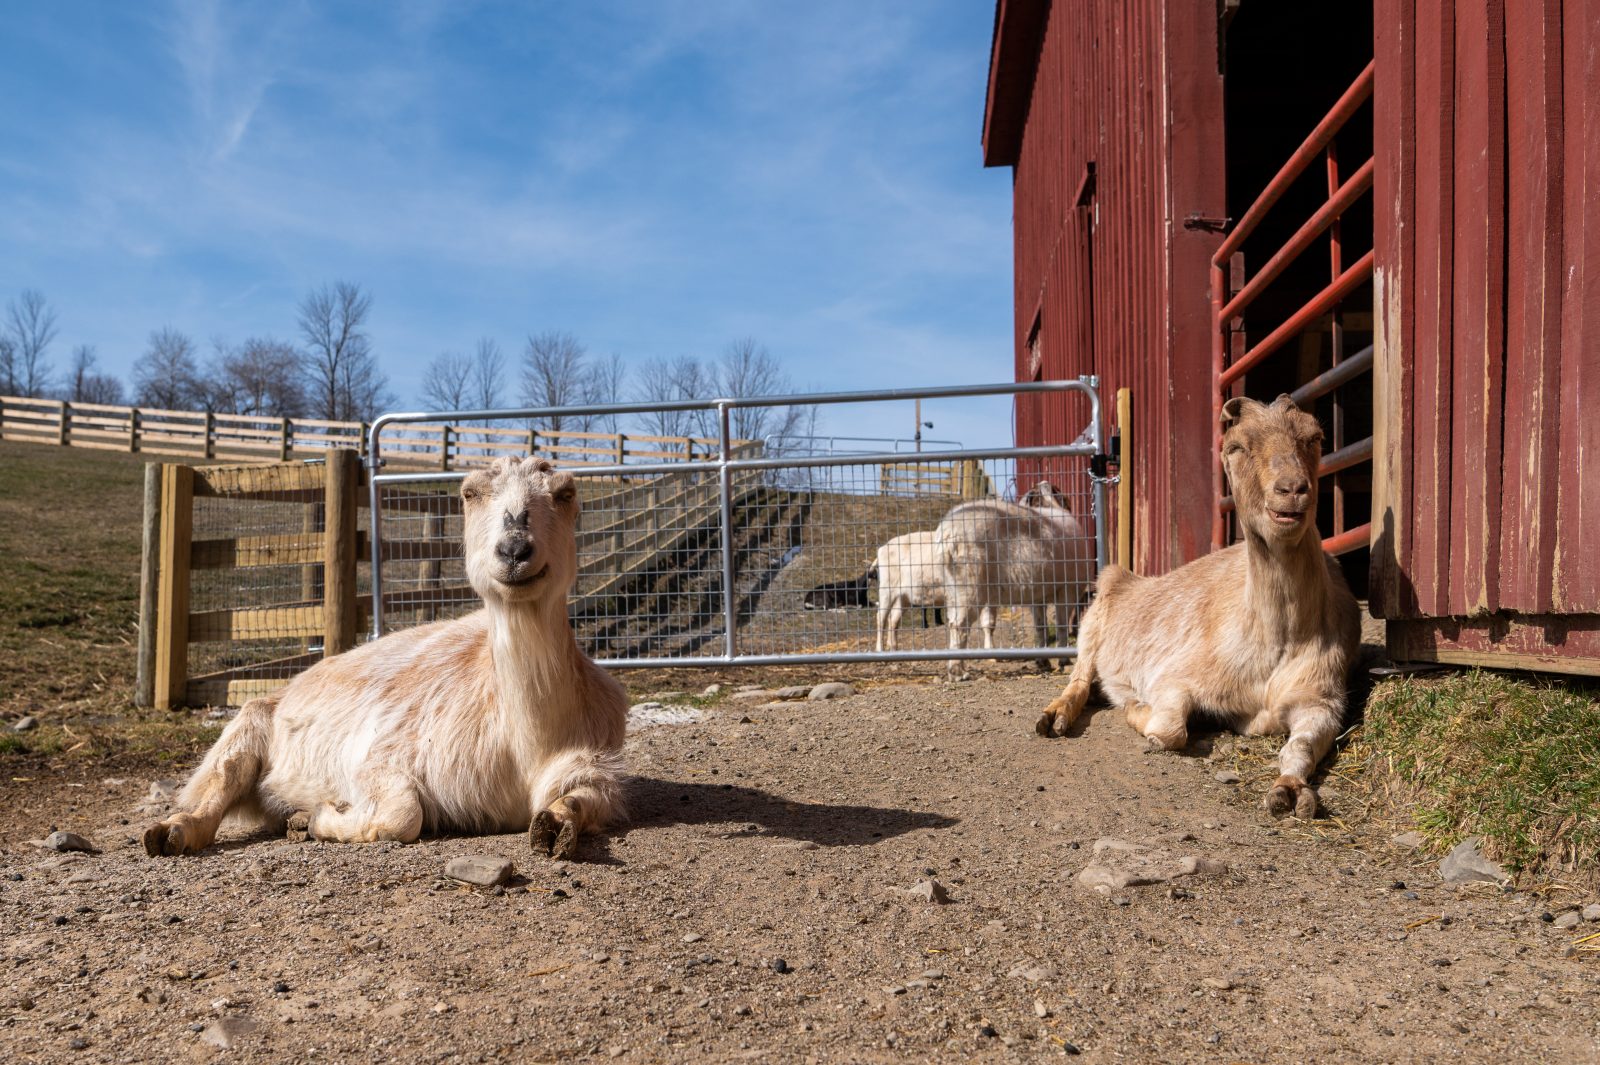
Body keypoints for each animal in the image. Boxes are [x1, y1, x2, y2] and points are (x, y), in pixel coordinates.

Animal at [147, 454, 627, 857]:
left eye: (565, 493)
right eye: (468, 493)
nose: (514, 551)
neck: (524, 743)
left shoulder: (594, 762)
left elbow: (582, 800)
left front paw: (554, 825)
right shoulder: (380, 757)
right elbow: (403, 816)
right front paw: (320, 818)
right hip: (247, 724)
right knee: (218, 784)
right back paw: (171, 832)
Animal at [1030, 393, 1356, 815]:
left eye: (1315, 437)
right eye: (1235, 447)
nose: (1292, 489)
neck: (1276, 638)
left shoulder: (1321, 697)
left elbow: (1301, 745)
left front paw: (1289, 790)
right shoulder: (1176, 675)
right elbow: (1168, 731)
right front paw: (1136, 709)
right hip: (1090, 627)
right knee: (1080, 680)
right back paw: (1054, 717)